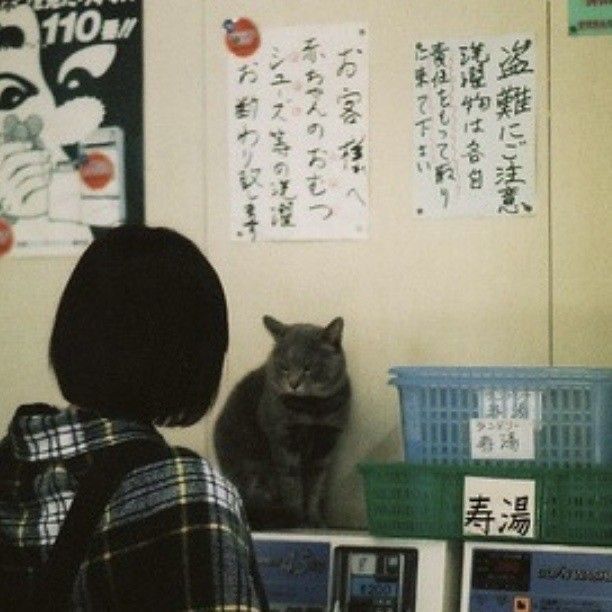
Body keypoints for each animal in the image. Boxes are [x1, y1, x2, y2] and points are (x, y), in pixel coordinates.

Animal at [214, 316, 350, 532]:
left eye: (308, 367)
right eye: (285, 367)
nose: (293, 383)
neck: (311, 410)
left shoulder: (325, 446)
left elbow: (315, 487)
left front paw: (315, 521)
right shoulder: (284, 442)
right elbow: (292, 485)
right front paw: (299, 520)